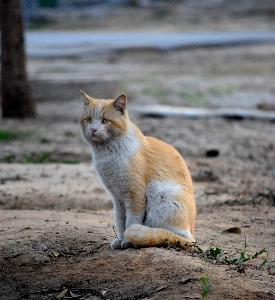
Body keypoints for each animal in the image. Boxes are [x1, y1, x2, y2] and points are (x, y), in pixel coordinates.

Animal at [80, 91, 196, 248]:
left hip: (161, 195)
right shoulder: (117, 198)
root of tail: (192, 236)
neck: (106, 153)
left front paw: (127, 241)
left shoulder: (135, 194)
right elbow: (120, 221)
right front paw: (120, 240)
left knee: (171, 236)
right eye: (88, 119)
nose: (93, 129)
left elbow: (131, 221)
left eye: (105, 121)